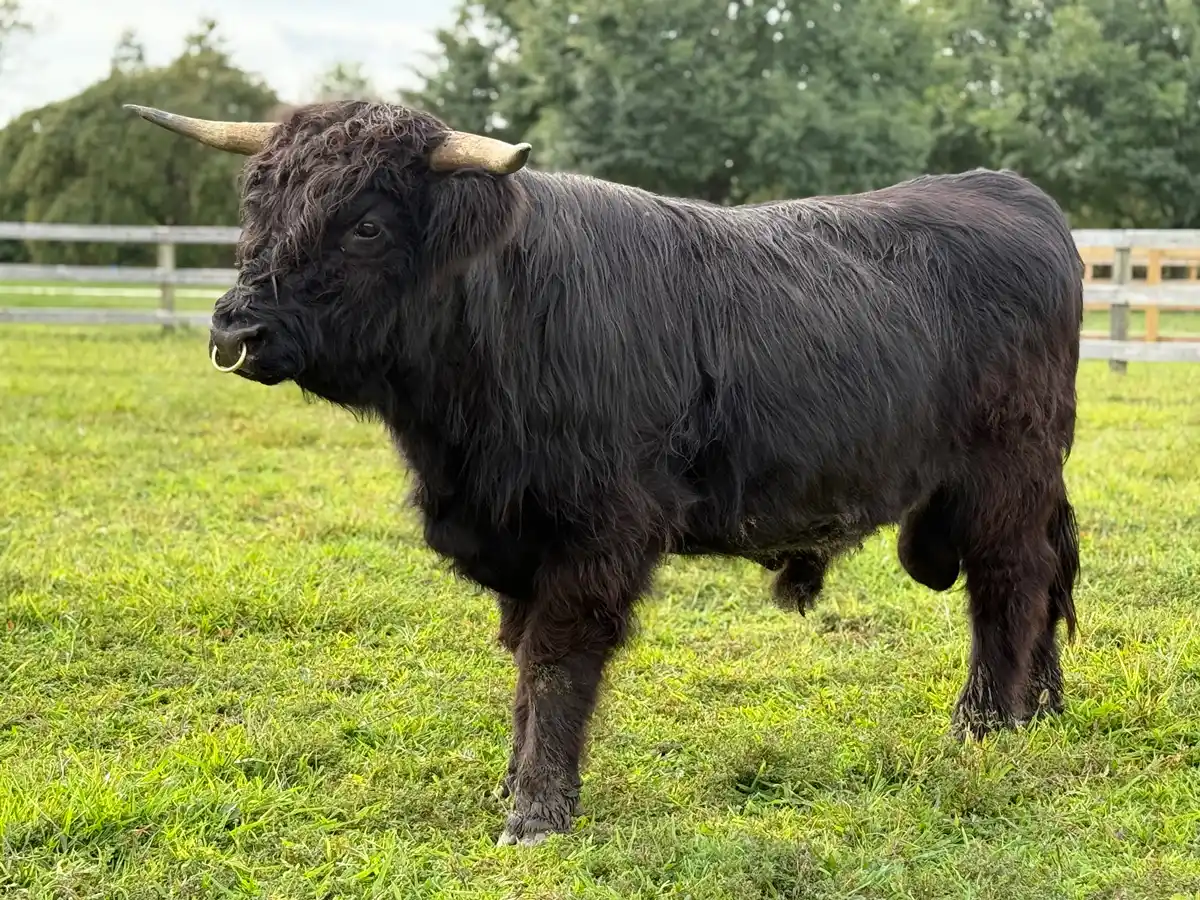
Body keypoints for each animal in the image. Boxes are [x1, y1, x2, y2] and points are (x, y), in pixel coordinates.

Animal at [125, 100, 1083, 847]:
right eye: (258, 205)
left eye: (365, 222)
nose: (233, 329)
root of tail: (1013, 191)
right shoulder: (516, 541)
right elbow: (523, 663)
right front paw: (512, 784)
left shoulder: (599, 533)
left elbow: (557, 663)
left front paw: (537, 812)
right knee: (1038, 581)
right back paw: (1036, 709)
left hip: (1006, 475)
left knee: (1009, 584)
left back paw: (983, 725)